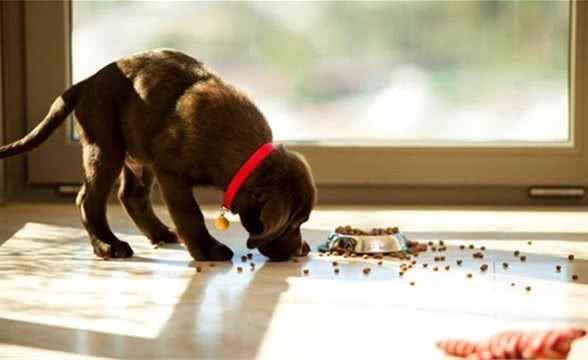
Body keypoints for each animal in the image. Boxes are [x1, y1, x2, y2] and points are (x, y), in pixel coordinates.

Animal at [0, 48, 316, 262]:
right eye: (294, 223)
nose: (299, 250)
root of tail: (84, 84)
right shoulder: (172, 173)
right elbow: (191, 214)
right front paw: (207, 249)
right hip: (106, 147)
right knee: (88, 200)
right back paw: (108, 246)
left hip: (138, 154)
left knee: (131, 196)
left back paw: (160, 234)